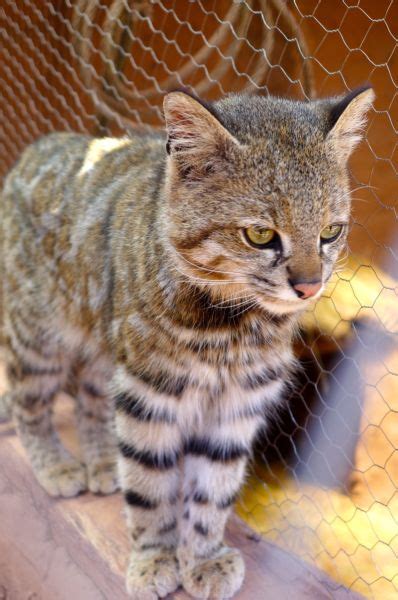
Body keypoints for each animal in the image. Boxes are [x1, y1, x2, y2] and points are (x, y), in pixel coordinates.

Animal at [0, 85, 374, 600]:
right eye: (260, 235)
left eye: (330, 232)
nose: (310, 287)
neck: (232, 327)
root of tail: (38, 146)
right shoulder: (149, 392)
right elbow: (150, 483)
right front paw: (154, 556)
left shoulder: (238, 402)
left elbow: (214, 488)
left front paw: (202, 556)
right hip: (39, 338)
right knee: (28, 403)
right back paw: (56, 465)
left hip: (103, 349)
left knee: (90, 399)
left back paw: (102, 462)